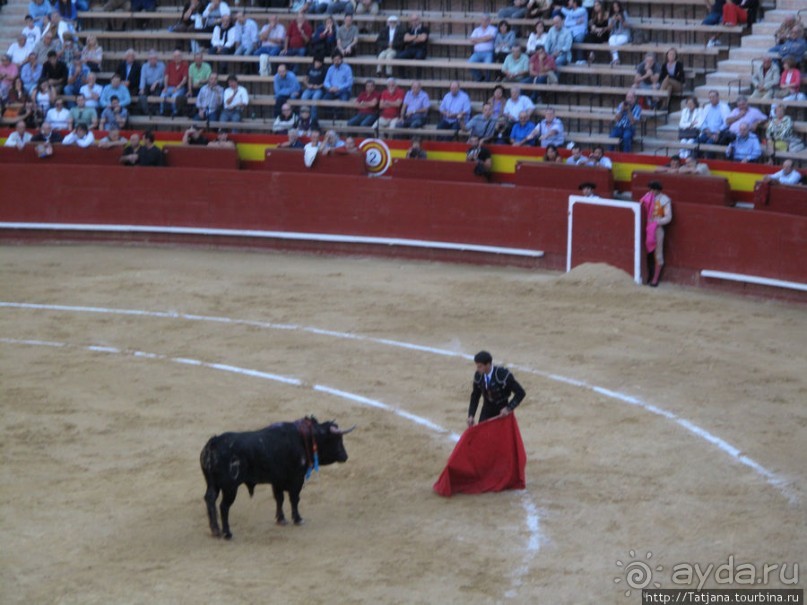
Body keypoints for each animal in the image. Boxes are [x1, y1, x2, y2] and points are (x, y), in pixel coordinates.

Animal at [200, 416, 354, 536]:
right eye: (337, 439)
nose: (345, 456)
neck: (304, 438)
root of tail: (213, 443)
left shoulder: (277, 480)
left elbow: (279, 498)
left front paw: (281, 519)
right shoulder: (296, 479)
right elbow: (294, 499)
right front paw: (298, 519)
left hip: (213, 484)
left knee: (210, 499)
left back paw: (215, 530)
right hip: (230, 488)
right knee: (224, 507)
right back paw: (227, 533)